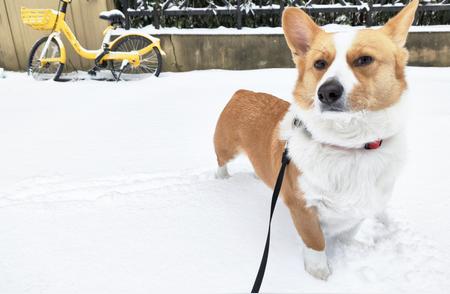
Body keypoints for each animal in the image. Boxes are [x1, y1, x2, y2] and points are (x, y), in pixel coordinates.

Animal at [213, 0, 420, 280]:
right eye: (320, 64)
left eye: (364, 60)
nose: (327, 92)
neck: (348, 145)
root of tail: (242, 91)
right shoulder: (303, 207)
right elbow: (315, 242)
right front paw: (319, 273)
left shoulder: (361, 208)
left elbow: (349, 231)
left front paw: (346, 248)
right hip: (226, 148)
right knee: (221, 161)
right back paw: (222, 181)